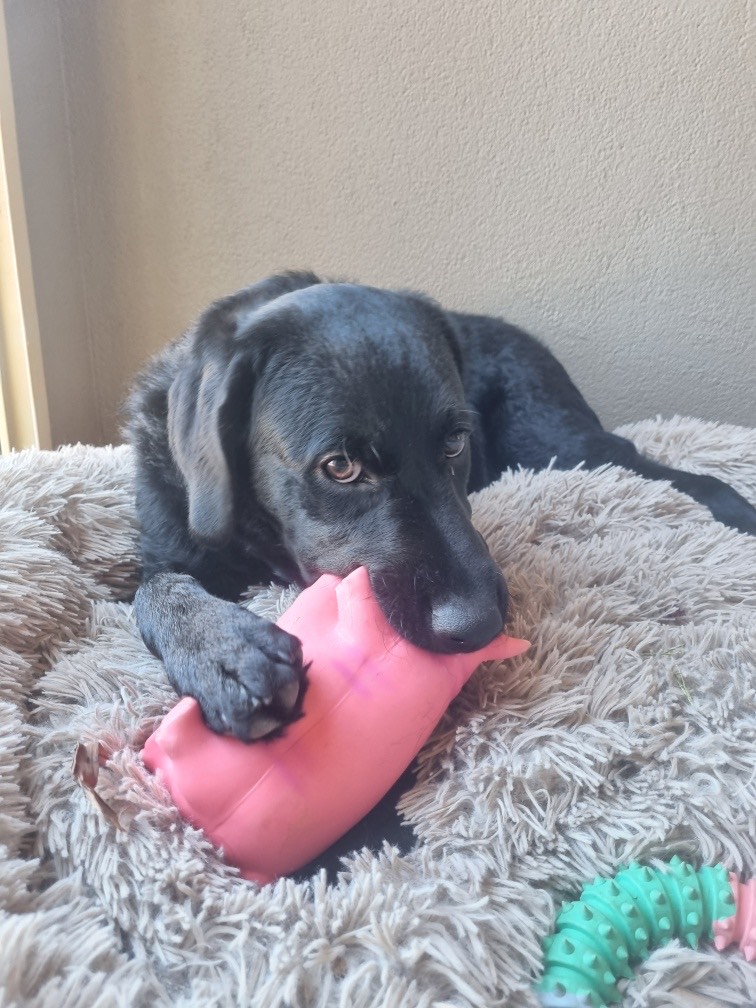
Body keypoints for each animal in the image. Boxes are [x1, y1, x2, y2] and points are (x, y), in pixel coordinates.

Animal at [125, 271, 756, 748]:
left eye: (455, 441)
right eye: (339, 467)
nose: (478, 626)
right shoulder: (166, 551)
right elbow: (152, 593)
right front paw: (225, 653)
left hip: (563, 445)